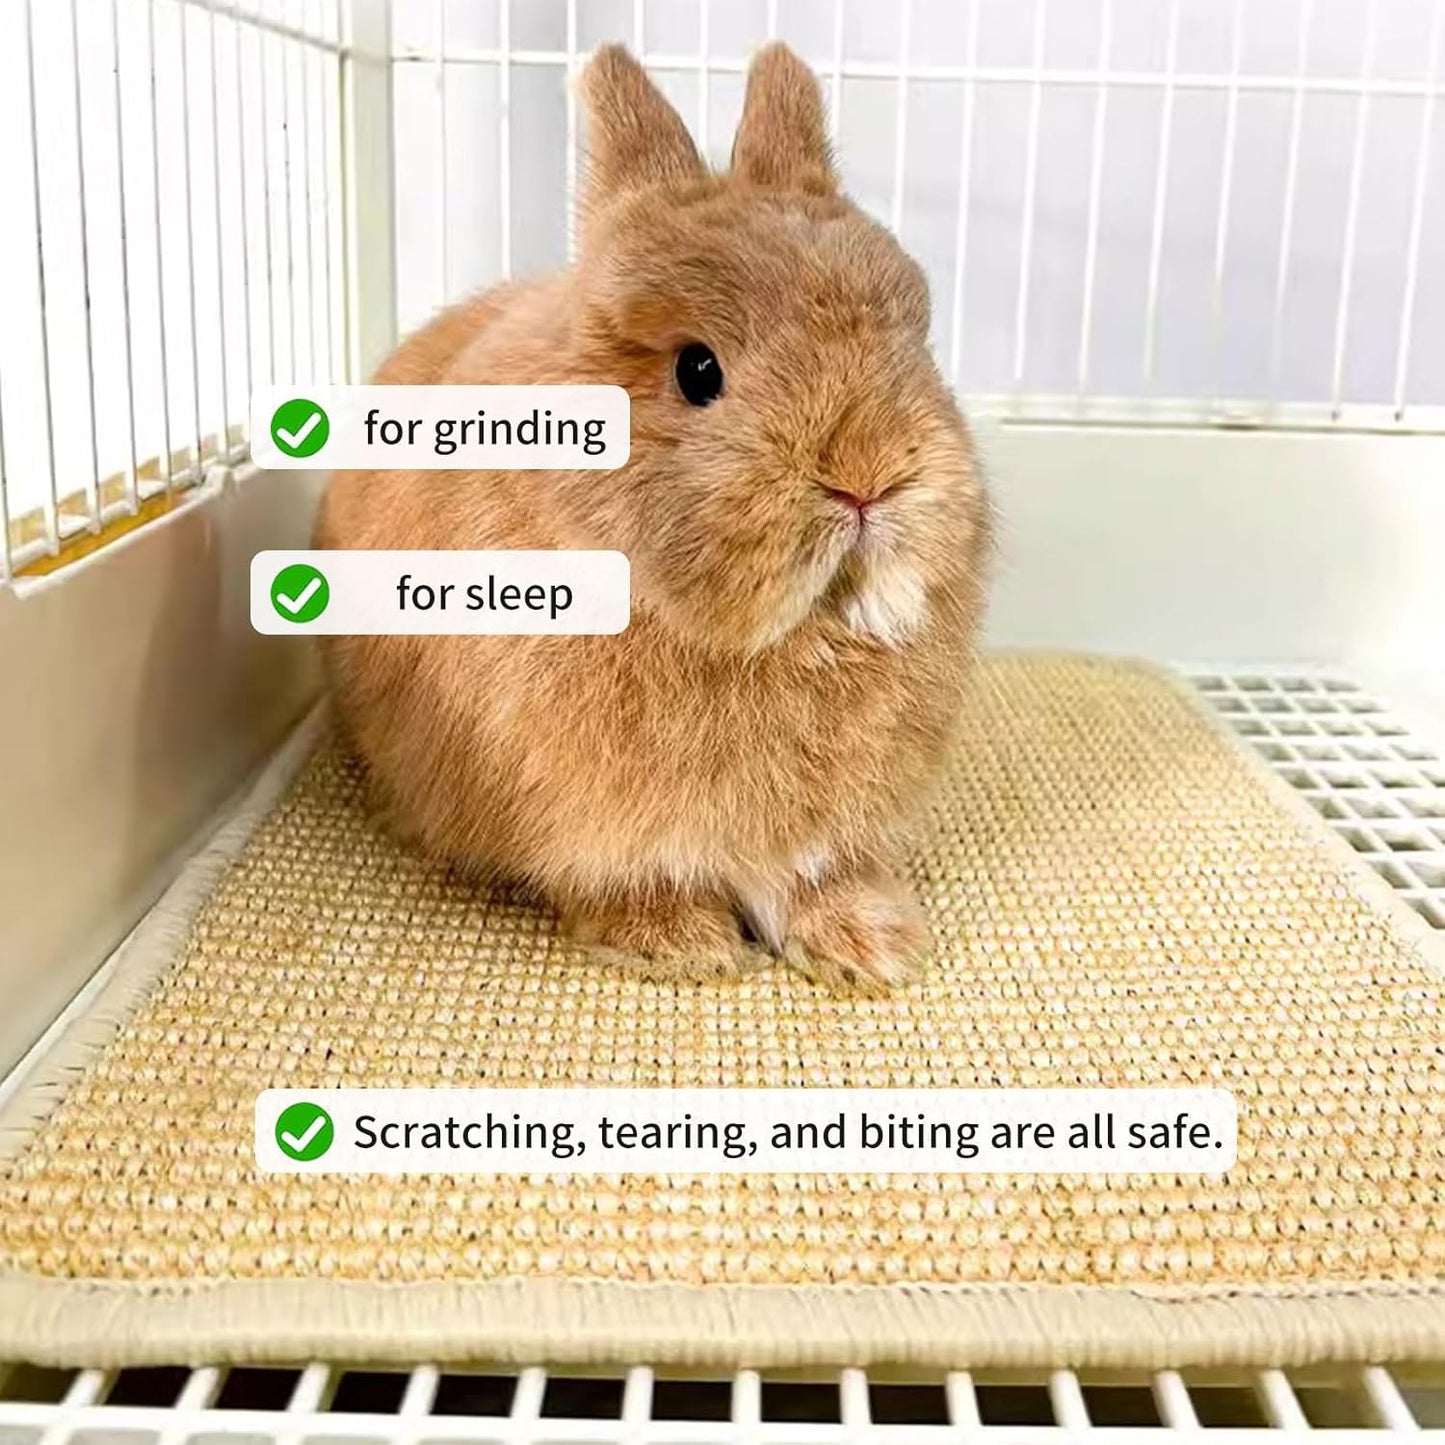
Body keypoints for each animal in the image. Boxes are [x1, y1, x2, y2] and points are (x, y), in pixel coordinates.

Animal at [314, 42, 993, 992]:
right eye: (697, 370)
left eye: (915, 335)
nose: (869, 477)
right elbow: (629, 877)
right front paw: (679, 947)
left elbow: (814, 877)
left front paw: (871, 945)